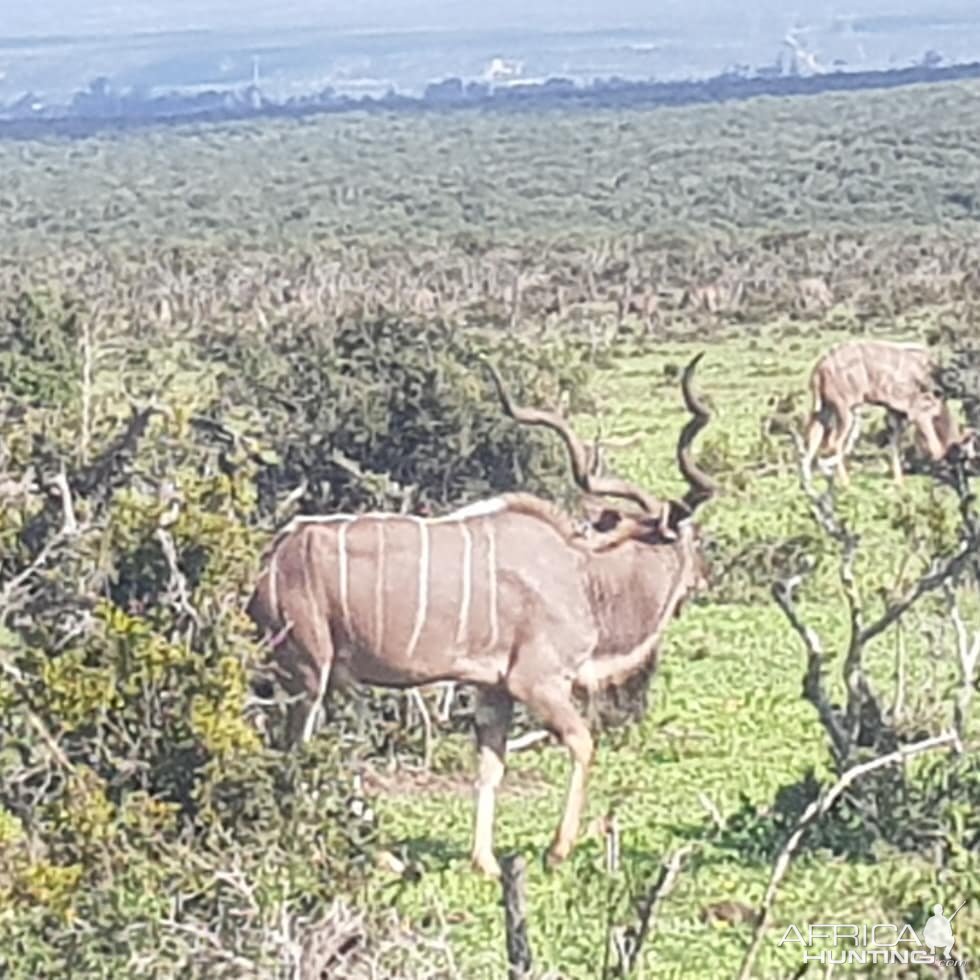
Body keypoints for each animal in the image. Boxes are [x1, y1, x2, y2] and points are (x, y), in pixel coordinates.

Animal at [249, 356, 716, 876]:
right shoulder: (537, 682)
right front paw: (557, 850)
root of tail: (272, 557)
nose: (702, 580)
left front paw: (486, 862)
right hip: (309, 672)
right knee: (297, 752)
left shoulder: (495, 689)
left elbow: (490, 766)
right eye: (694, 537)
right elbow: (582, 742)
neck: (584, 575)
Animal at [804, 340, 972, 486]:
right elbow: (935, 448)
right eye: (961, 457)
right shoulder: (920, 414)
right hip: (845, 409)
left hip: (823, 408)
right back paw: (845, 483)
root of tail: (818, 370)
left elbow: (895, 444)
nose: (962, 480)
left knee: (814, 435)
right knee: (834, 442)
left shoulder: (895, 411)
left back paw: (808, 482)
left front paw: (899, 481)